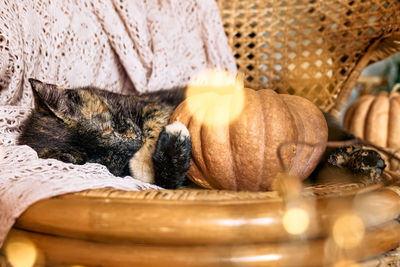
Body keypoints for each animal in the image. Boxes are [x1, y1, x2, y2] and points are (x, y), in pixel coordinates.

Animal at [18, 78, 388, 189]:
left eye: (117, 126)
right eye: (104, 160)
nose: (131, 145)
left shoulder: (150, 108)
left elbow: (155, 125)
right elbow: (163, 177)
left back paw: (364, 159)